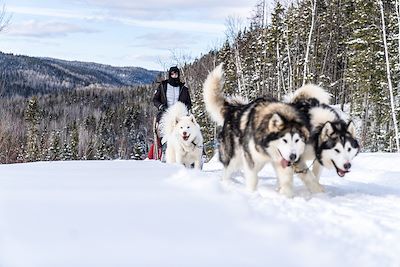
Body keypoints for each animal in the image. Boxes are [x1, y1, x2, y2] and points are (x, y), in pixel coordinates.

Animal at [202, 64, 324, 197]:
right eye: (284, 140)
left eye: (297, 140)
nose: (293, 156)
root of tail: (233, 109)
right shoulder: (251, 160)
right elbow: (253, 179)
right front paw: (251, 194)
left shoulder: (283, 162)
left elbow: (288, 181)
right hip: (234, 157)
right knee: (227, 171)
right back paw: (225, 185)